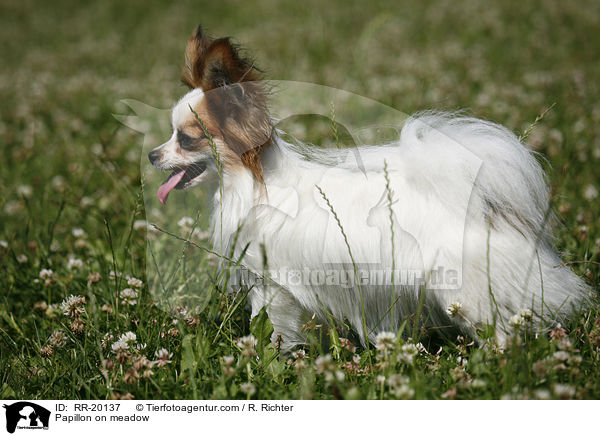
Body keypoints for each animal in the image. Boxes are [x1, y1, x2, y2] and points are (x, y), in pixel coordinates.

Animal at [148, 24, 588, 350]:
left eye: (186, 139)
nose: (152, 155)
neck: (255, 185)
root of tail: (491, 206)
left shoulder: (274, 288)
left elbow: (274, 330)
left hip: (467, 294)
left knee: (502, 332)